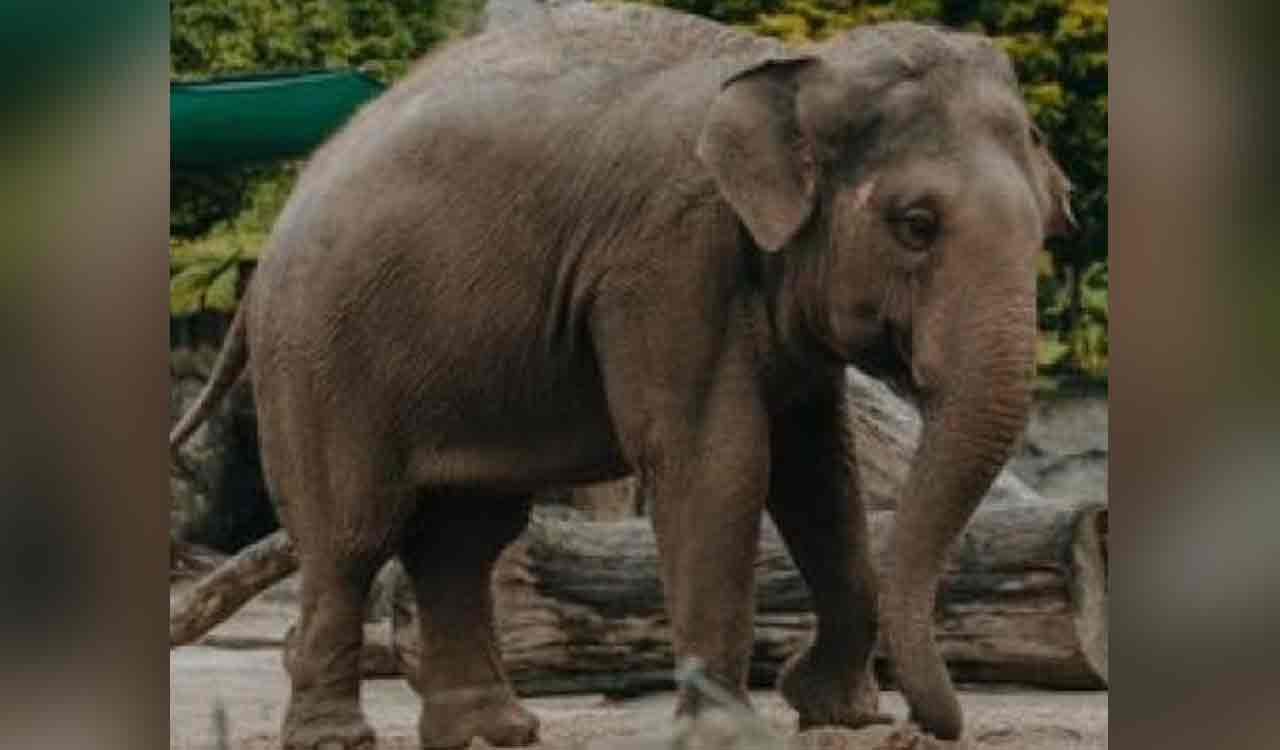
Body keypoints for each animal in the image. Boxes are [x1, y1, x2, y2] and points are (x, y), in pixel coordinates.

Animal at [170, 4, 1075, 749]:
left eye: (1047, 225)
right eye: (915, 225)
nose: (932, 726)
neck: (792, 71)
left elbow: (821, 473)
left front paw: (838, 713)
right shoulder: (665, 259)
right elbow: (719, 460)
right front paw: (729, 733)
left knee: (465, 536)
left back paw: (493, 731)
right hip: (321, 355)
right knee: (353, 533)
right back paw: (339, 738)